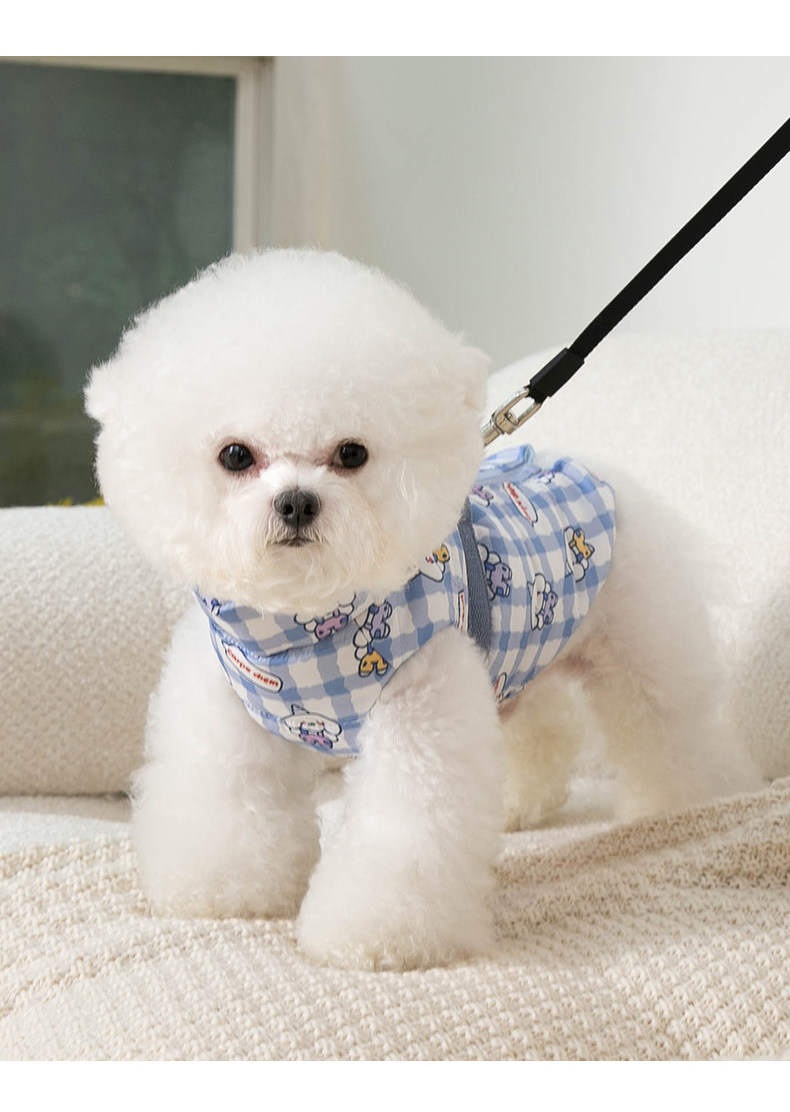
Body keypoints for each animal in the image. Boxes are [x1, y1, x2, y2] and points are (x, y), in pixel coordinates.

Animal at [85, 249, 763, 971]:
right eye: (235, 455)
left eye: (352, 453)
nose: (296, 502)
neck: (306, 625)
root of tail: (590, 468)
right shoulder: (229, 717)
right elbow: (230, 802)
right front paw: (225, 890)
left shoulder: (420, 708)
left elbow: (403, 828)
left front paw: (379, 935)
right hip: (513, 664)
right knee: (541, 726)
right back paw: (522, 805)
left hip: (642, 648)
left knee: (671, 732)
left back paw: (694, 807)